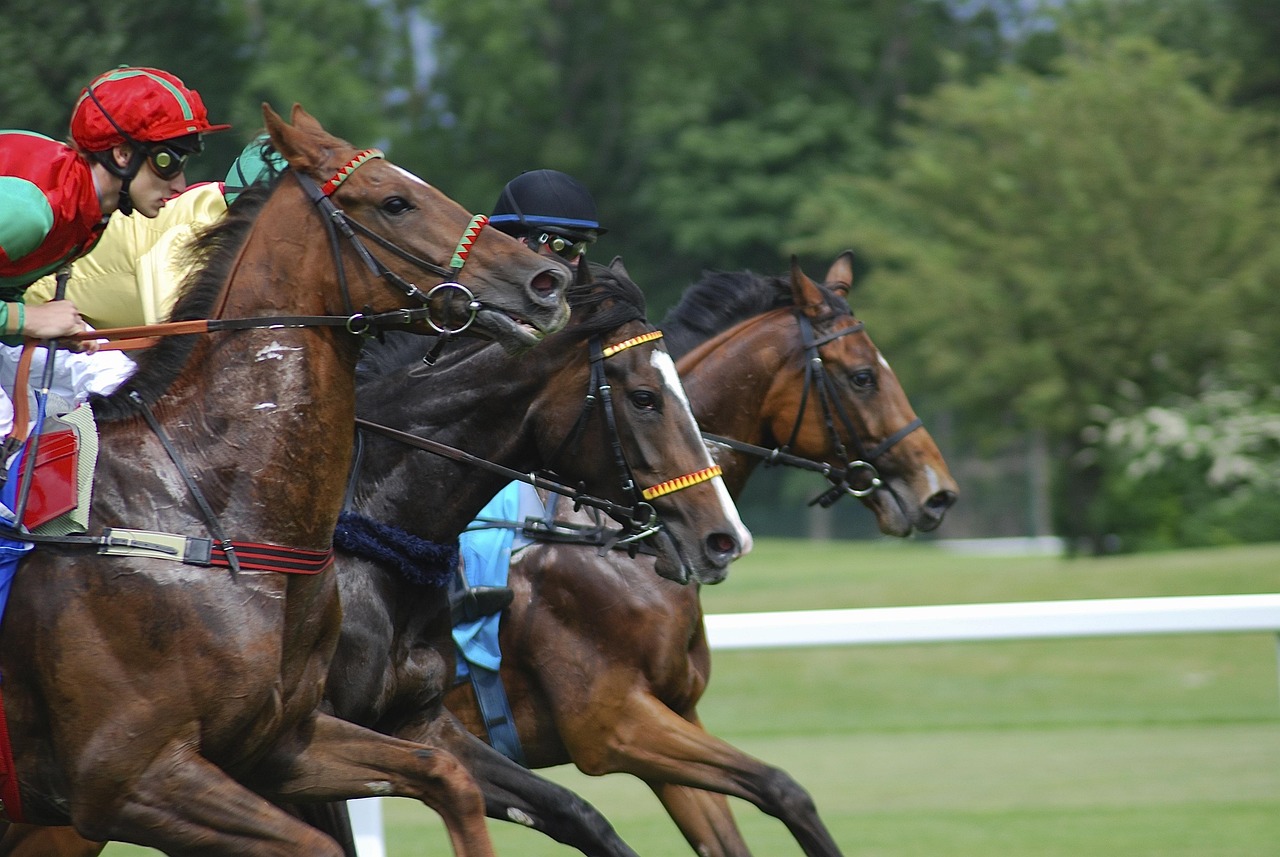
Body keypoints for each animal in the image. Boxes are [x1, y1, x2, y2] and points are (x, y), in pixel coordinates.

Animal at [0, 104, 573, 854]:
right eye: (395, 201)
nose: (546, 280)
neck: (204, 513)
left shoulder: (283, 741)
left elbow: (447, 774)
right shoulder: (129, 779)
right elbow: (321, 843)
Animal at [445, 257, 957, 857]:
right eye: (862, 377)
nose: (938, 493)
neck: (611, 544)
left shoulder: (673, 714)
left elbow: (748, 819)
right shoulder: (613, 725)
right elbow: (782, 788)